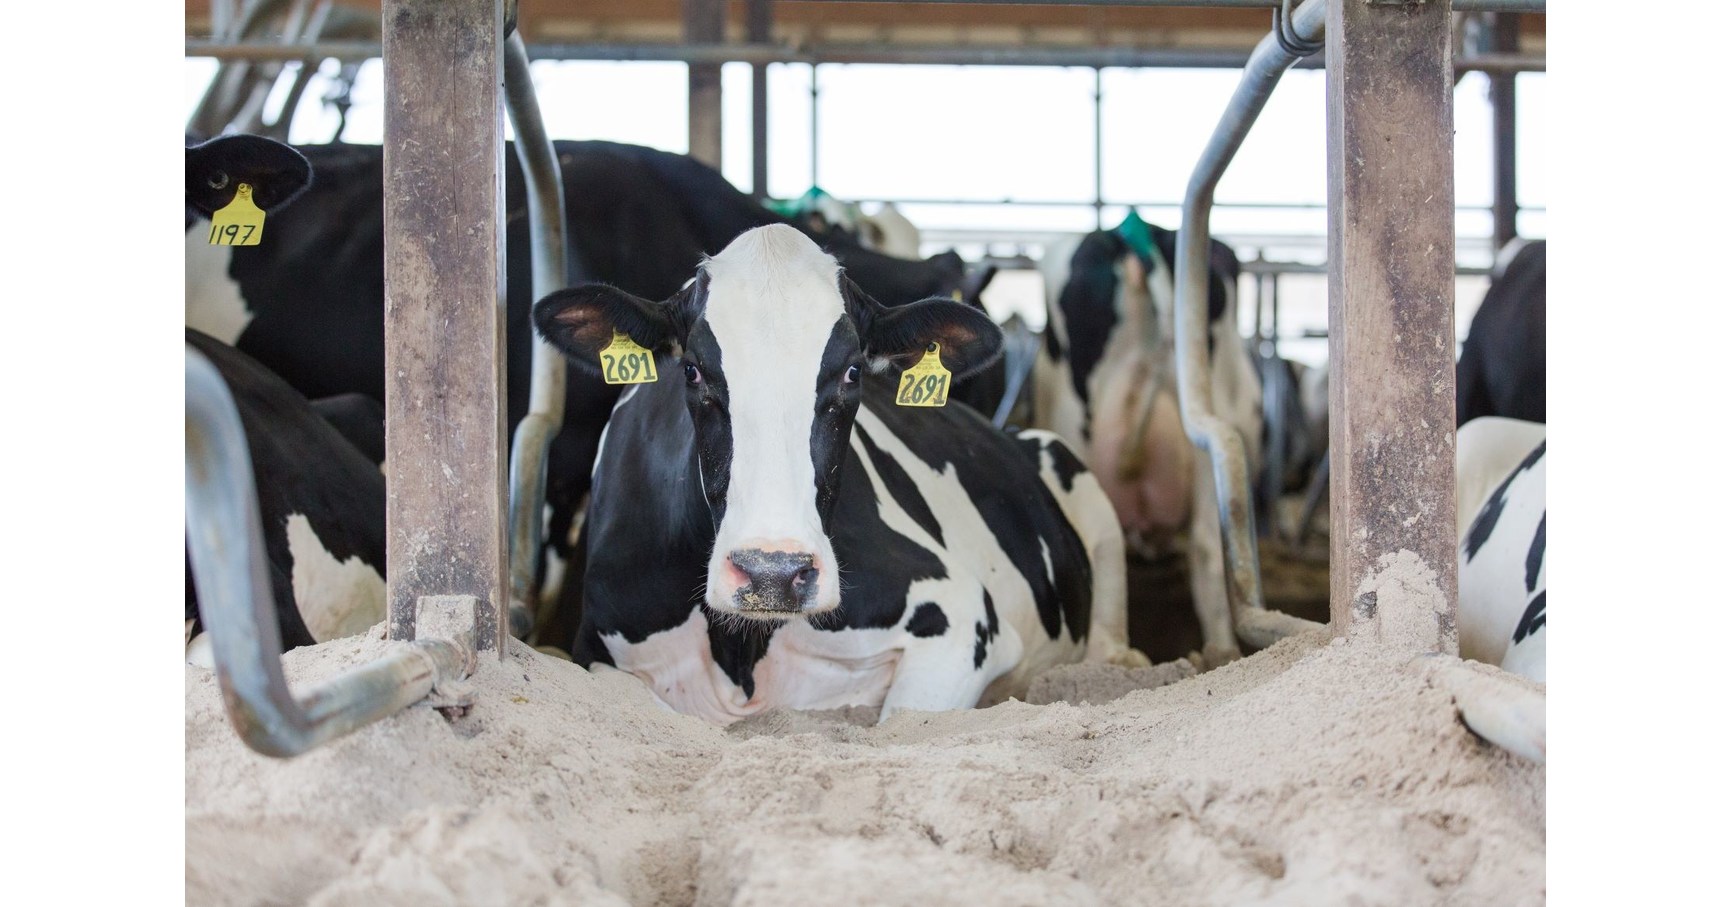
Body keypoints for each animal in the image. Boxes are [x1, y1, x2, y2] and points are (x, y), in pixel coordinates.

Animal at [532, 224, 1138, 723]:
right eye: (693, 370)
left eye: (851, 372)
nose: (772, 573)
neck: (743, 650)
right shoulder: (598, 647)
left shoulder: (965, 619)